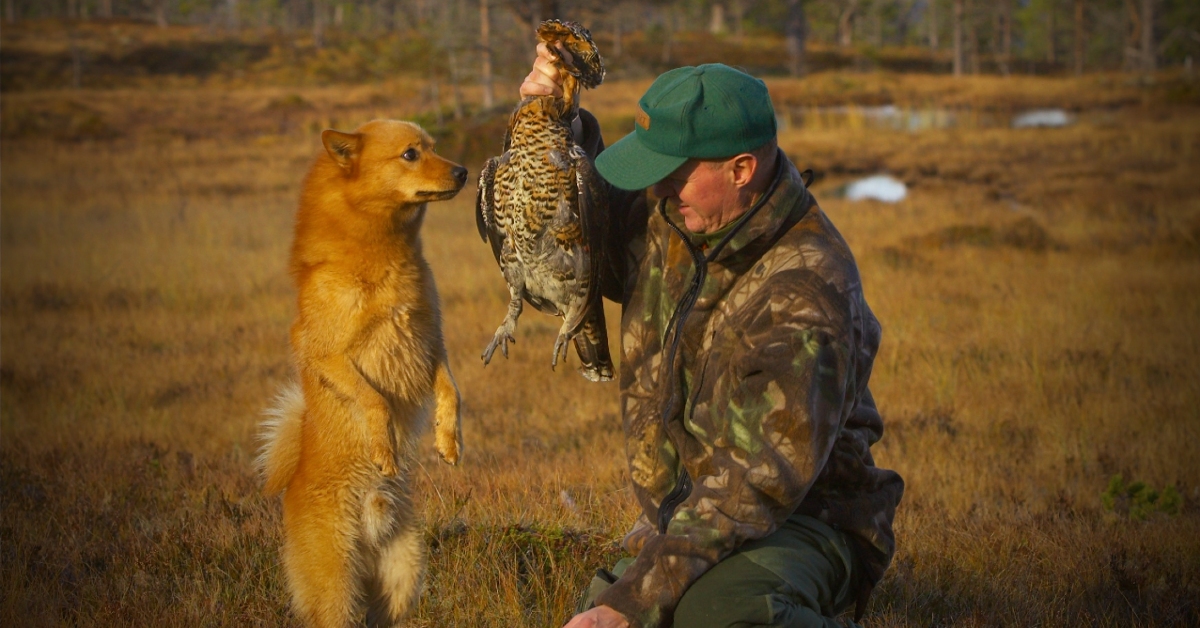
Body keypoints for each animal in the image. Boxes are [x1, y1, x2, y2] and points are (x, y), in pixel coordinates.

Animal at [258, 119, 468, 628]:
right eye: (410, 154)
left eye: (433, 148)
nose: (463, 172)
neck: (382, 250)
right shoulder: (324, 353)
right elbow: (373, 399)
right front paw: (384, 448)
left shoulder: (430, 341)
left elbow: (452, 392)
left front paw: (447, 440)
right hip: (338, 590)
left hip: (401, 579)